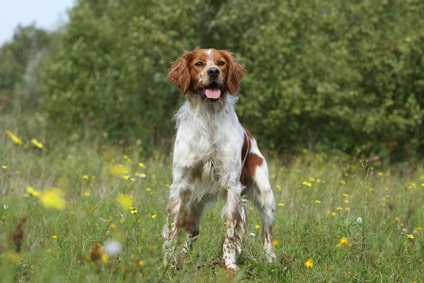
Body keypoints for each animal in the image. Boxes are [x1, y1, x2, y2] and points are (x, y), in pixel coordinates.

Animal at [161, 48, 274, 270]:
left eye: (221, 63)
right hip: (195, 198)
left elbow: (231, 231)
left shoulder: (232, 185)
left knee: (267, 234)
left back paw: (272, 260)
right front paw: (167, 262)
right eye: (198, 63)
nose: (213, 72)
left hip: (265, 195)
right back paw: (184, 256)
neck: (208, 117)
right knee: (193, 231)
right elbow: (173, 229)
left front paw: (230, 264)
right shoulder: (180, 185)